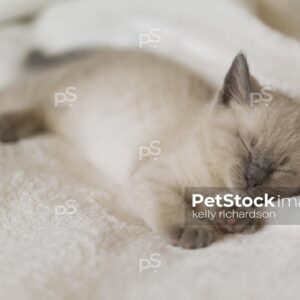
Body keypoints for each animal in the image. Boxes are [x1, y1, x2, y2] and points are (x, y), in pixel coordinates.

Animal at [0, 49, 300, 248]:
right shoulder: (154, 176)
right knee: (29, 100)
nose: (252, 177)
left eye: (281, 168)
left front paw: (235, 218)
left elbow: (214, 202)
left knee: (39, 112)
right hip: (46, 91)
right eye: (245, 144)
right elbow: (177, 205)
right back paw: (7, 127)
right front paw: (195, 231)